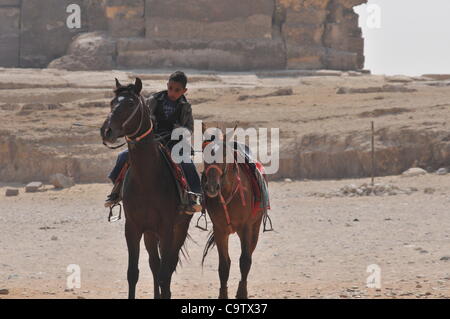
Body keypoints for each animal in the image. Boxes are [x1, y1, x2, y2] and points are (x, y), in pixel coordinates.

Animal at [100, 78, 192, 300]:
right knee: (154, 264)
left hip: (180, 227)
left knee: (168, 266)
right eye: (112, 102)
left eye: (130, 103)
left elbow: (165, 273)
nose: (106, 131)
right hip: (150, 233)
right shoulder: (133, 227)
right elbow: (133, 273)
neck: (147, 180)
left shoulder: (167, 229)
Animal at [201, 127, 268, 300]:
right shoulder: (220, 230)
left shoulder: (246, 228)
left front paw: (242, 293)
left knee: (249, 254)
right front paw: (223, 295)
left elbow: (244, 261)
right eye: (204, 154)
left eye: (224, 155)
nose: (212, 187)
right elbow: (224, 266)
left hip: (255, 227)